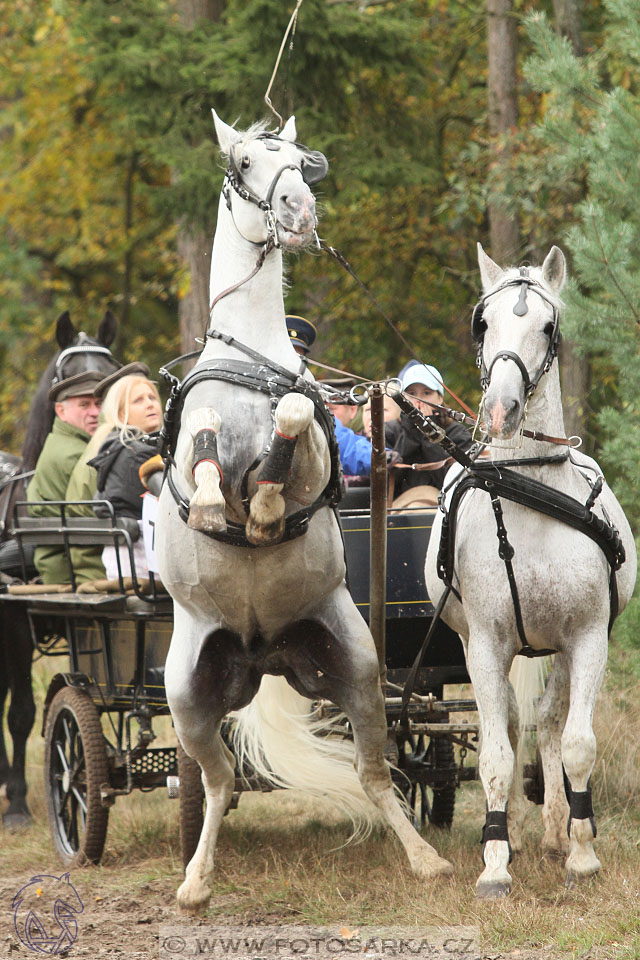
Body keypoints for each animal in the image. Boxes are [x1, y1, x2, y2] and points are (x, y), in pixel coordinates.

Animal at [155, 109, 454, 912]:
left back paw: (425, 859)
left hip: (357, 670)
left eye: (298, 160)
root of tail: (264, 652)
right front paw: (211, 502)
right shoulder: (194, 437)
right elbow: (201, 446)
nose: (298, 210)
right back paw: (194, 881)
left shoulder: (311, 443)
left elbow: (291, 421)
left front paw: (261, 507)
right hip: (188, 697)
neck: (252, 361)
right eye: (246, 163)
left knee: (377, 775)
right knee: (217, 784)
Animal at [424, 244, 637, 897]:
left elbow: (576, 744)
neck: (528, 491)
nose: (500, 409)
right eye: (483, 323)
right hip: (476, 643)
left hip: (557, 649)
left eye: (548, 327)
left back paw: (552, 831)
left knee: (546, 723)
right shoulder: (487, 644)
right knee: (514, 727)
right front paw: (496, 860)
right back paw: (513, 831)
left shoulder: (589, 638)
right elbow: (495, 752)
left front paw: (582, 851)